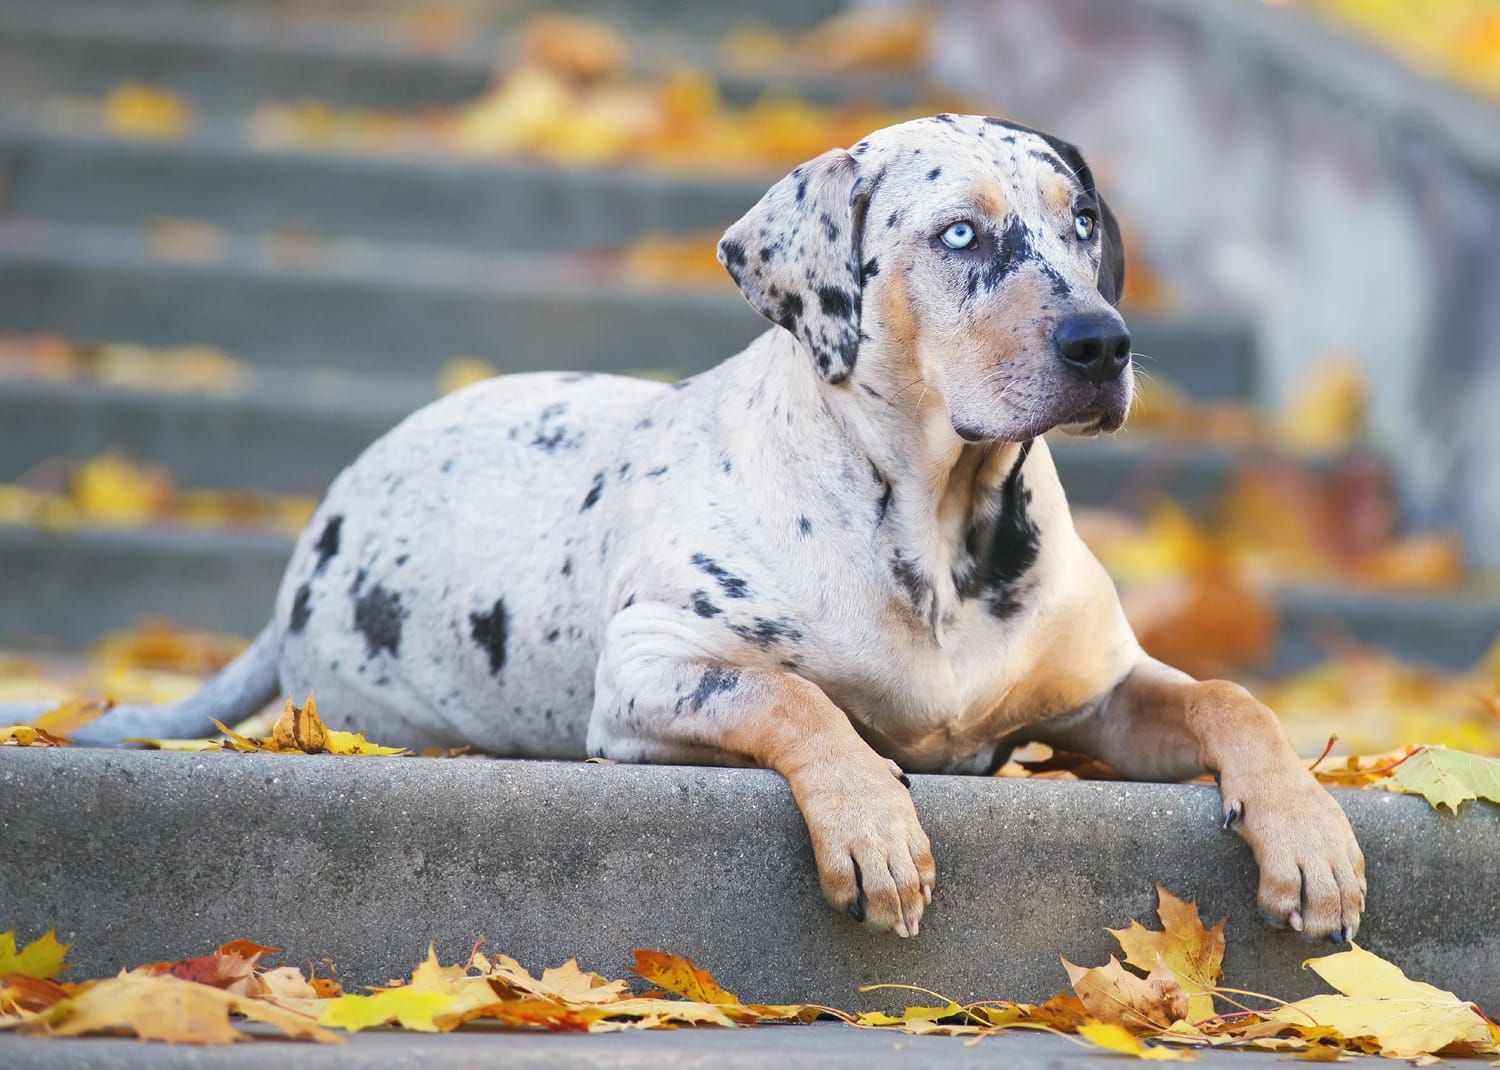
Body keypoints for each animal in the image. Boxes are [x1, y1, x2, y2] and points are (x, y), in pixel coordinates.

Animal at [55, 112, 1362, 936]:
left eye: (1081, 218)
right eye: (960, 234)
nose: (1104, 343)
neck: (944, 527)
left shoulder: (1104, 690)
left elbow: (1230, 699)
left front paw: (1308, 829)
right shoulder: (652, 670)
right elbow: (792, 698)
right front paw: (872, 819)